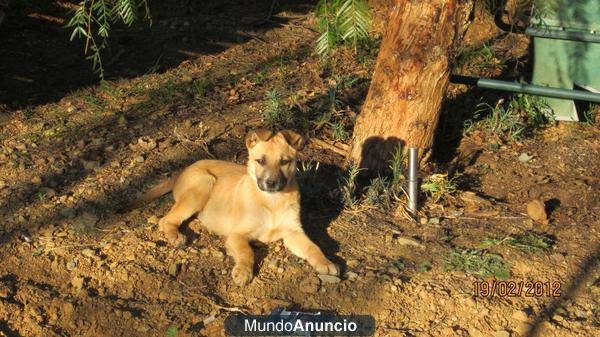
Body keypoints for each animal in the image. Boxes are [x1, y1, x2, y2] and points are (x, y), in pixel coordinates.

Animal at [127, 129, 338, 284]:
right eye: (260, 161)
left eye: (285, 162)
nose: (271, 183)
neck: (271, 202)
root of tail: (182, 171)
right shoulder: (237, 235)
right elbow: (247, 251)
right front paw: (243, 271)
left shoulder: (293, 232)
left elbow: (313, 246)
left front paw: (325, 262)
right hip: (204, 182)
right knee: (165, 220)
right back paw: (175, 236)